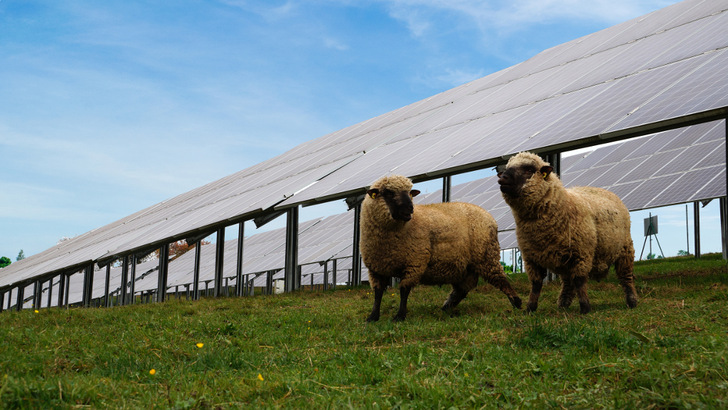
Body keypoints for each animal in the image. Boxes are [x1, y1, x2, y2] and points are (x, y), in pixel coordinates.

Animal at [360, 175, 520, 322]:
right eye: (388, 192)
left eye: (410, 193)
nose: (410, 208)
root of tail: (489, 216)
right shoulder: (376, 267)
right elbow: (378, 293)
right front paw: (372, 317)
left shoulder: (414, 262)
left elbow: (404, 290)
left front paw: (399, 316)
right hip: (464, 266)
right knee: (463, 288)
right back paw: (446, 307)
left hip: (486, 255)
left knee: (500, 279)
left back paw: (517, 304)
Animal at [494, 151, 636, 314]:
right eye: (507, 168)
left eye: (529, 169)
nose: (502, 178)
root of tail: (605, 191)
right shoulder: (531, 257)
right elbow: (536, 284)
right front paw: (530, 308)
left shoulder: (582, 253)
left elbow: (580, 281)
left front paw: (585, 308)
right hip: (565, 259)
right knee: (568, 281)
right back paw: (563, 304)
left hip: (624, 250)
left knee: (626, 276)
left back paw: (632, 301)